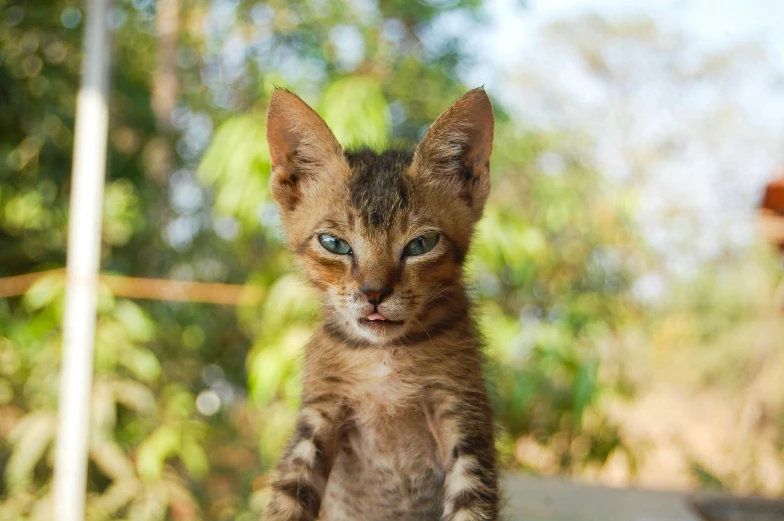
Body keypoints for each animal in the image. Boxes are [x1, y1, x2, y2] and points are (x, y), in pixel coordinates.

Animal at [264, 87, 496, 516]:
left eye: (421, 244)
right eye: (334, 243)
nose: (374, 293)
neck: (383, 357)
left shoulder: (463, 411)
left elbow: (471, 502)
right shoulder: (320, 409)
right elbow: (287, 497)